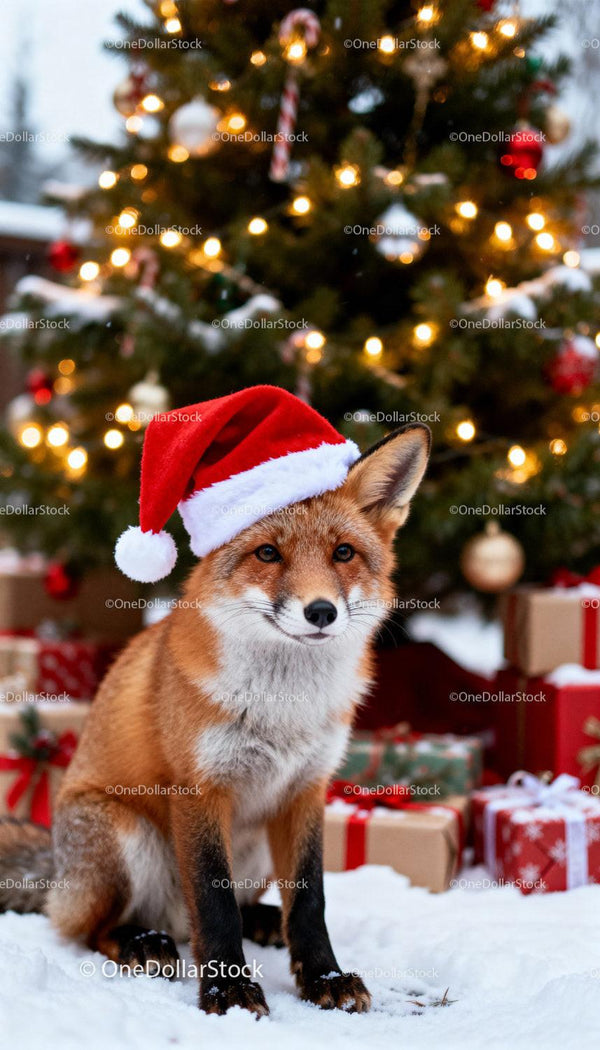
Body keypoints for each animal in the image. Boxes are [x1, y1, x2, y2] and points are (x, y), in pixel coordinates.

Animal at [0, 418, 430, 1018]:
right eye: (268, 553)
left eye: (343, 552)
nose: (321, 611)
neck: (283, 708)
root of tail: (58, 870)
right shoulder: (201, 788)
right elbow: (213, 899)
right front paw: (229, 990)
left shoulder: (306, 789)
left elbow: (310, 901)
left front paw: (324, 976)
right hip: (124, 834)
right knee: (90, 928)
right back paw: (142, 941)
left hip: (257, 847)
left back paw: (263, 921)